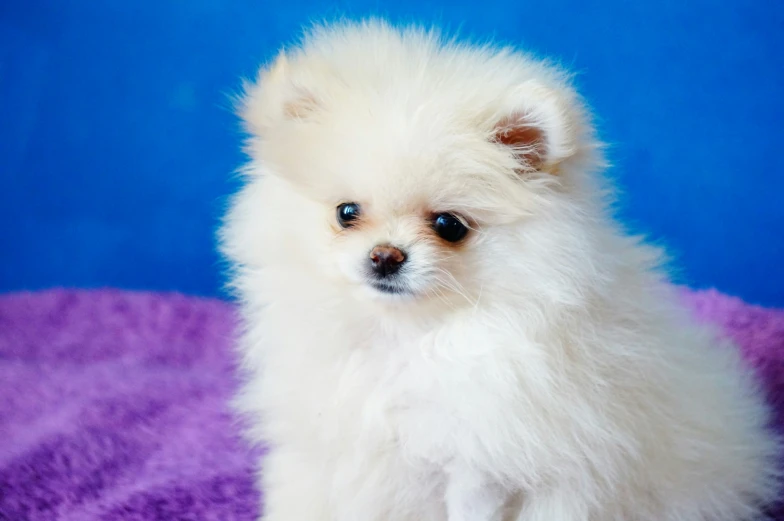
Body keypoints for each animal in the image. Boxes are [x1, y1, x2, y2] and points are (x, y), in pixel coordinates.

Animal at [217, 19, 780, 520]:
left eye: (449, 225)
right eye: (346, 212)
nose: (385, 256)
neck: (407, 333)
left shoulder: (480, 465)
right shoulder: (328, 448)